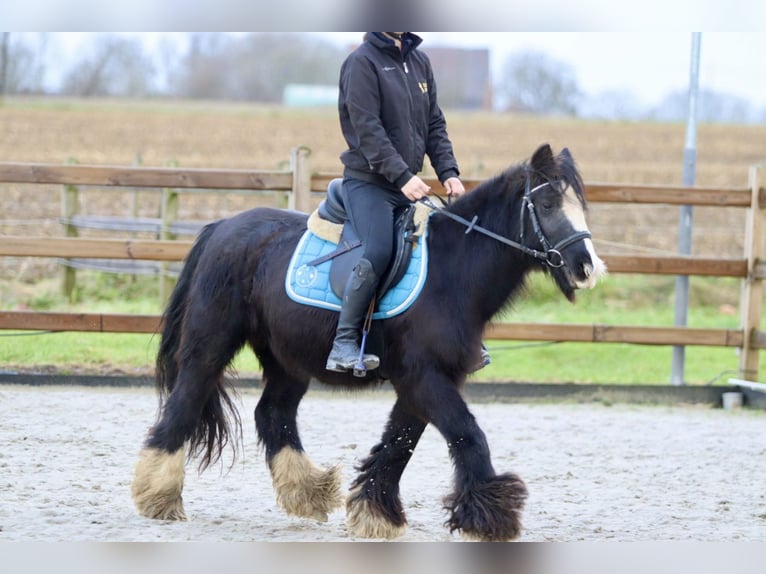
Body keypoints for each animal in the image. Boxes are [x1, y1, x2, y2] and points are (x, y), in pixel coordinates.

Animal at [130, 145, 608, 544]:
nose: (586, 268)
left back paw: (308, 492)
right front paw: (491, 516)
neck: (452, 271)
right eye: (546, 205)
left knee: (273, 414)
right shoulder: (423, 377)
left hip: (288, 360)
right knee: (185, 403)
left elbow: (399, 443)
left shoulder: (424, 381)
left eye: (580, 207)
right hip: (211, 344)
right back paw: (158, 495)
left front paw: (375, 512)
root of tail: (221, 229)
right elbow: (467, 435)